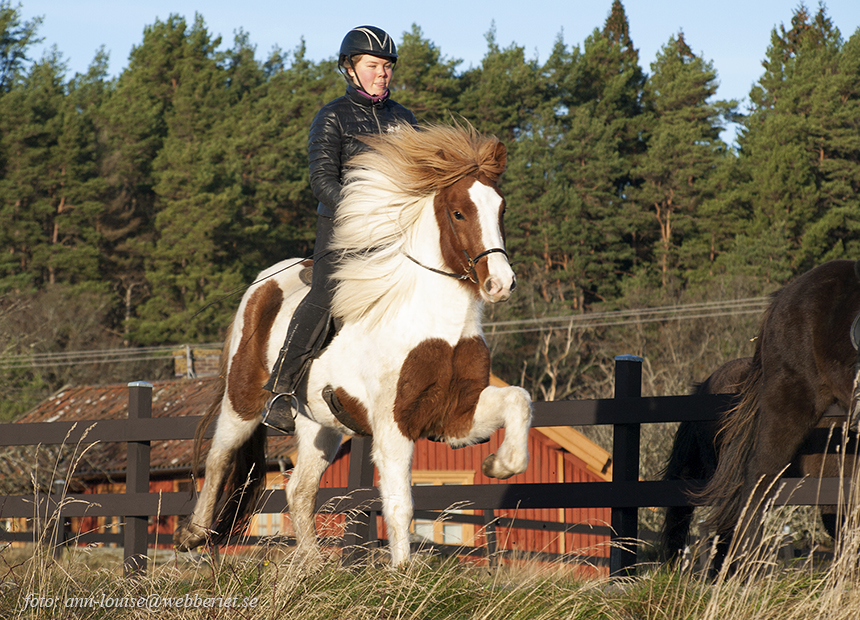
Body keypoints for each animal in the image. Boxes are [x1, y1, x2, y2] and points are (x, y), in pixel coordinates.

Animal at [173, 124, 532, 568]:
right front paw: (402, 573)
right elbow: (399, 504)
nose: (500, 284)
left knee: (299, 489)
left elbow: (519, 399)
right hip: (243, 401)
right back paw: (193, 534)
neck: (436, 323)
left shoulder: (456, 415)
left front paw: (498, 463)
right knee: (220, 455)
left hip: (318, 425)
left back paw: (312, 565)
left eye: (501, 208)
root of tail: (262, 284)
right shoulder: (393, 424)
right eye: (459, 212)